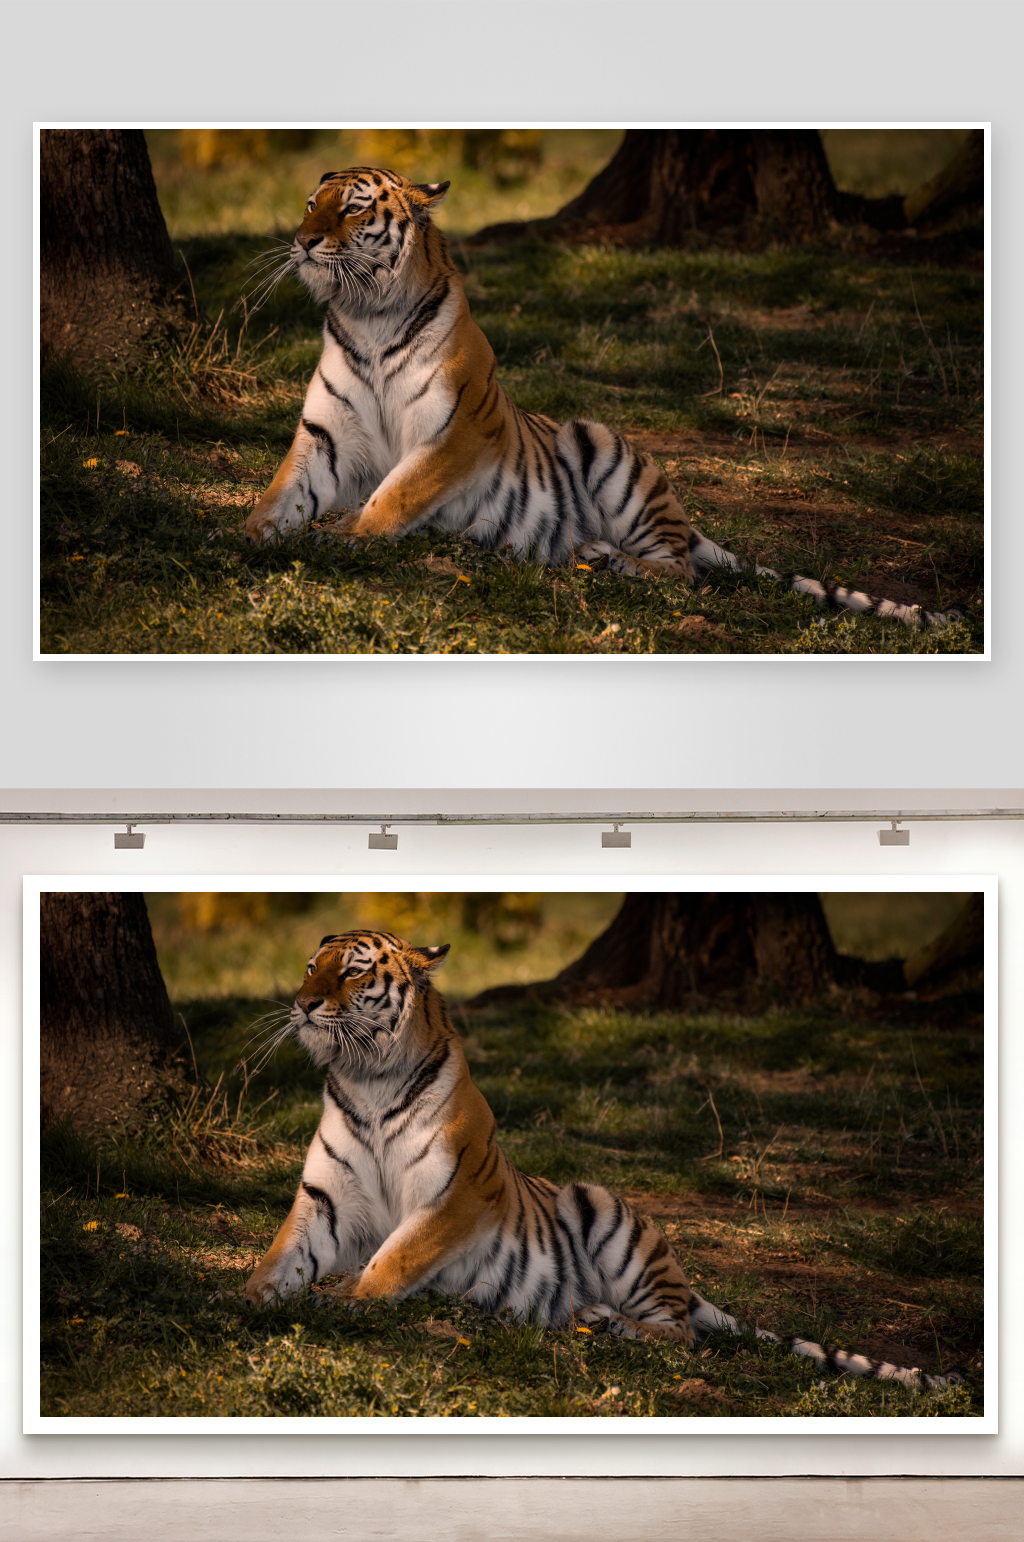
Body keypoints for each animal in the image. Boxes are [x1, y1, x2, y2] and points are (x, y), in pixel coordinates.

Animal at [242, 166, 958, 630]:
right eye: (309, 203)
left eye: (353, 209)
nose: (302, 241)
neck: (368, 313)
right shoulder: (326, 433)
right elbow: (282, 492)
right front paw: (248, 538)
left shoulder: (456, 432)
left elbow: (395, 495)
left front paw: (345, 539)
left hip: (602, 444)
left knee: (682, 569)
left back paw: (605, 559)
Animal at [244, 928, 960, 1394]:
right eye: (309, 966)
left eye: (353, 971)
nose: (302, 1005)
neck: (368, 1076)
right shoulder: (326, 1196)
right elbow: (282, 1254)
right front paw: (248, 1300)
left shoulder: (455, 1196)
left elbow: (395, 1258)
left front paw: (345, 1300)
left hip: (604, 1210)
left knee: (681, 1331)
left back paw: (604, 1321)